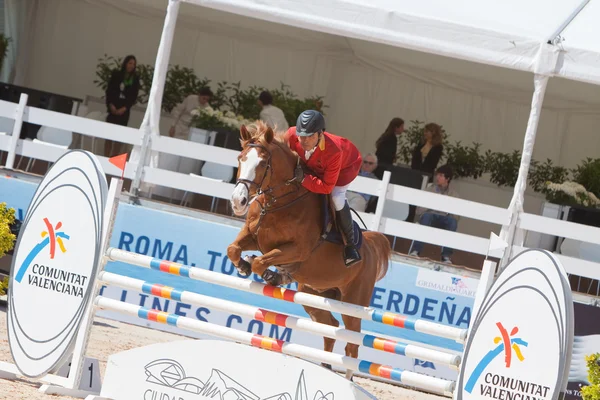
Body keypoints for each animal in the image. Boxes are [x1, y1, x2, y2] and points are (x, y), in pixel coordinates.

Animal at [226, 121, 394, 378]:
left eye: (263, 164)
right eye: (240, 158)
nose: (238, 202)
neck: (279, 202)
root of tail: (371, 248)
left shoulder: (298, 250)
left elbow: (261, 261)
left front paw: (270, 274)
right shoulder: (253, 236)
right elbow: (233, 250)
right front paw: (245, 266)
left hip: (353, 304)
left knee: (352, 344)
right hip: (314, 295)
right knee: (330, 328)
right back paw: (325, 368)